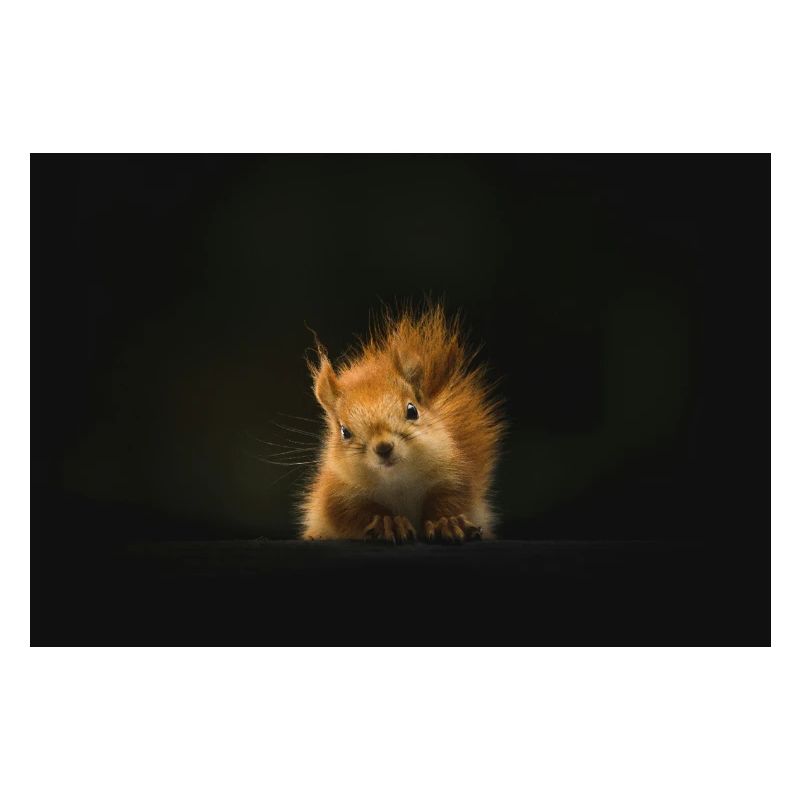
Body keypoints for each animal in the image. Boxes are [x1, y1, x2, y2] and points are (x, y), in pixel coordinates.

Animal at [300, 304, 504, 543]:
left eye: (412, 410)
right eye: (344, 432)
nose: (383, 447)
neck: (397, 481)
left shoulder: (453, 475)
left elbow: (451, 500)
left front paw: (446, 521)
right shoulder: (337, 494)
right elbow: (353, 514)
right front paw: (388, 522)